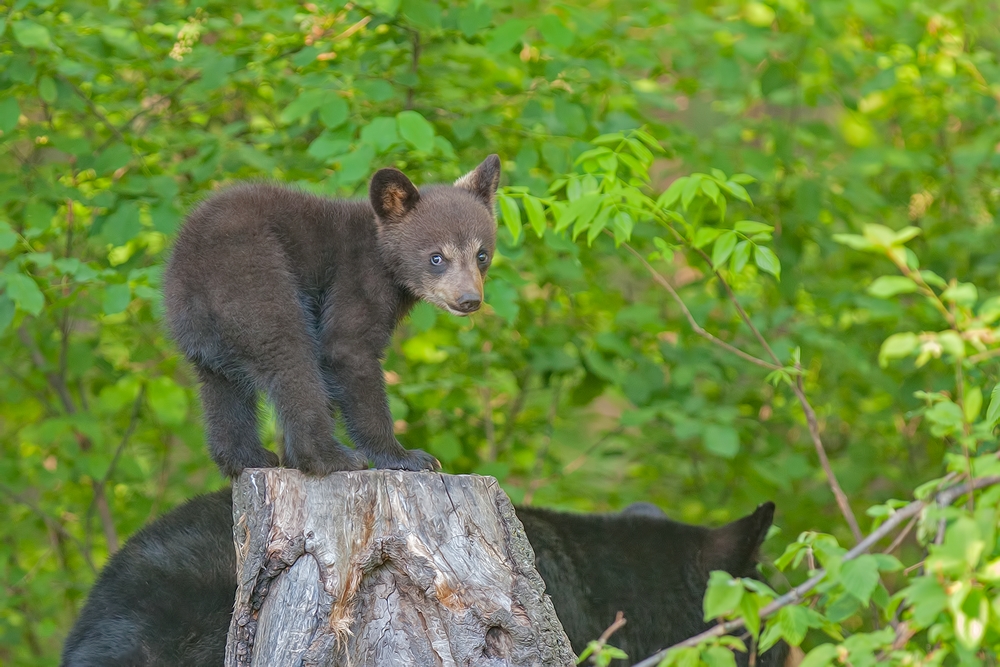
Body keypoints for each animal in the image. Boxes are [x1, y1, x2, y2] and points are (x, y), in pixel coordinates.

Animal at [167, 159, 504, 478]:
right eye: (436, 257)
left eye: (481, 255)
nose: (469, 299)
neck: (385, 260)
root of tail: (192, 266)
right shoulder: (356, 279)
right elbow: (347, 349)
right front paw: (405, 457)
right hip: (254, 280)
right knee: (291, 359)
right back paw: (331, 457)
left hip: (198, 333)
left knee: (223, 387)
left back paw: (247, 458)